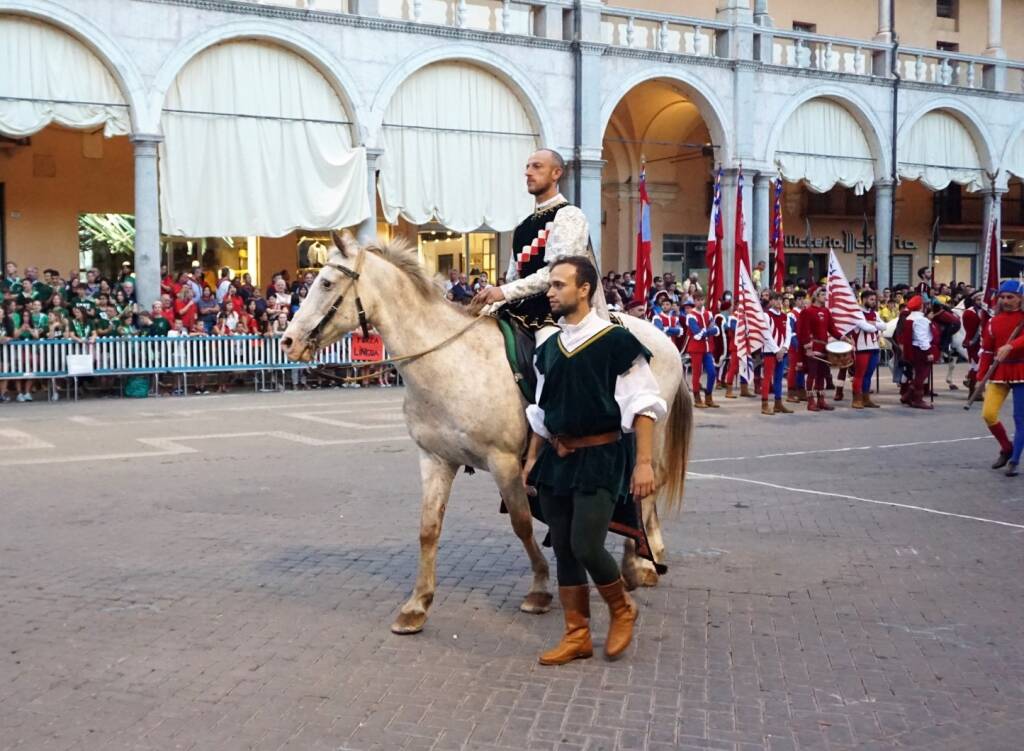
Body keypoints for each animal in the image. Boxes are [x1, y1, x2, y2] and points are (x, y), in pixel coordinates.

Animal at [284, 232, 692, 631]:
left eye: (326, 282)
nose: (288, 340)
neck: (451, 363)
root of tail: (664, 338)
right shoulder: (435, 459)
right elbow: (428, 528)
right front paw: (417, 605)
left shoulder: (505, 462)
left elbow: (522, 523)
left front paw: (540, 588)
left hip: (648, 432)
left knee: (645, 486)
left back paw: (640, 562)